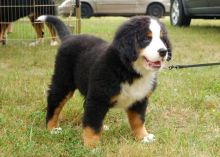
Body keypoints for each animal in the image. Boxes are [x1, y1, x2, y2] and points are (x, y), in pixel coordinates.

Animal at [37, 14, 172, 147]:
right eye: (146, 39)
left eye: (162, 38)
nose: (163, 51)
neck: (129, 70)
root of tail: (70, 37)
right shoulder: (97, 98)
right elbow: (92, 123)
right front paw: (91, 145)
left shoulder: (139, 99)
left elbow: (138, 120)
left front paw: (143, 137)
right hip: (63, 81)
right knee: (54, 102)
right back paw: (52, 128)